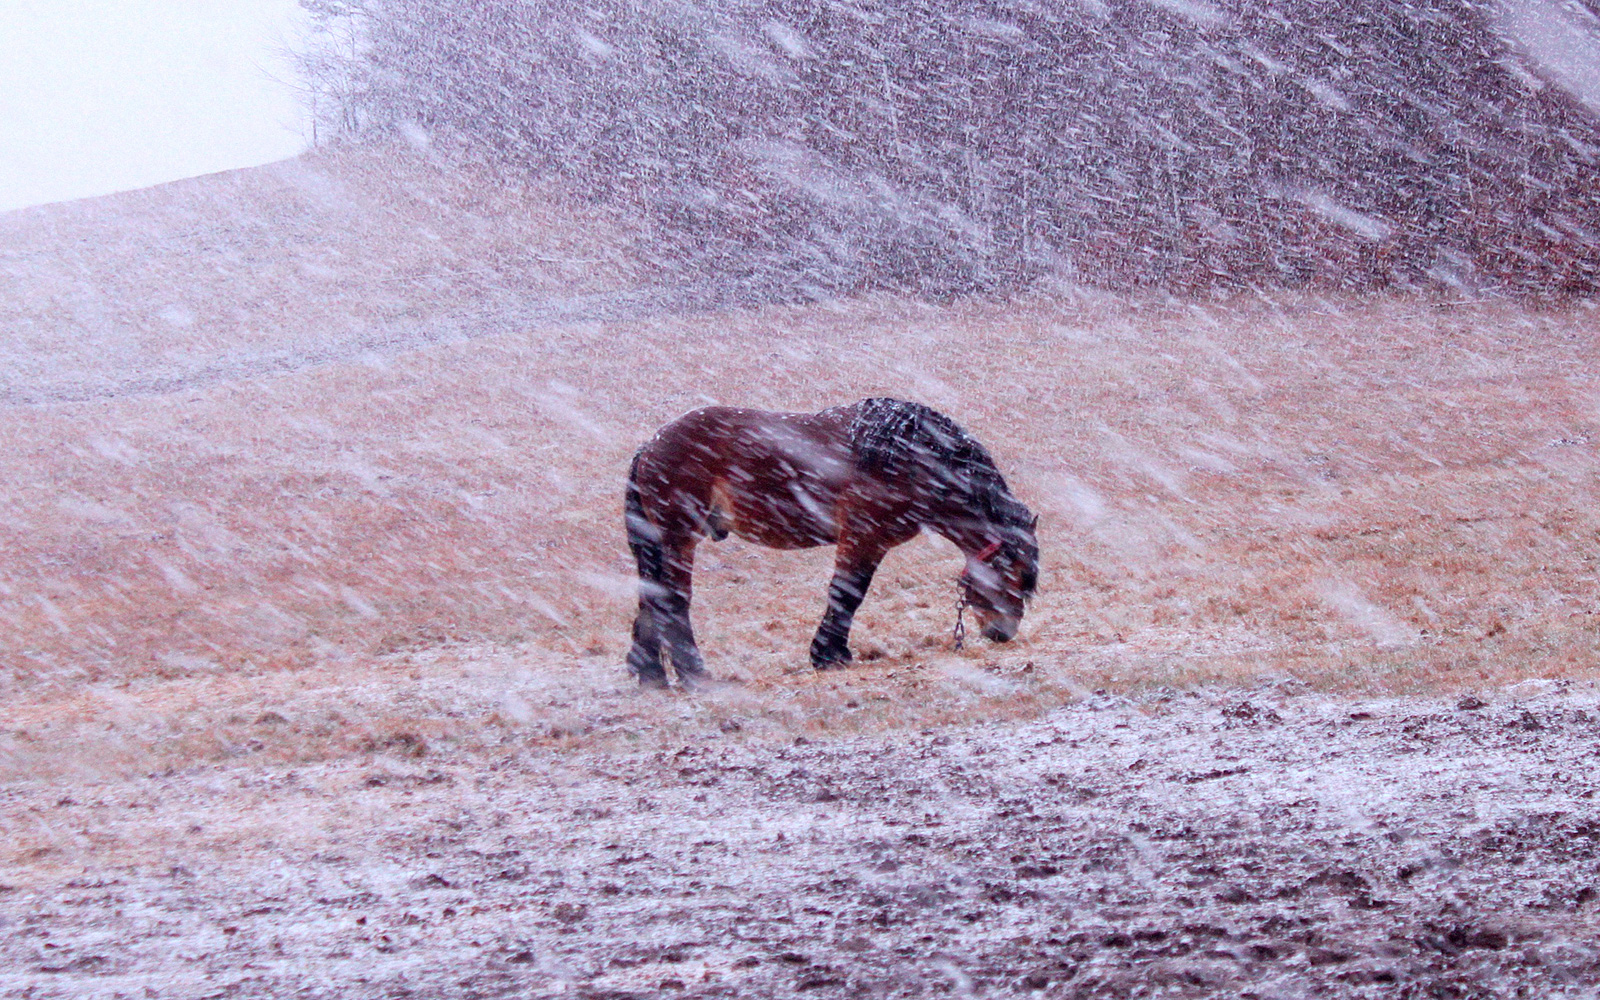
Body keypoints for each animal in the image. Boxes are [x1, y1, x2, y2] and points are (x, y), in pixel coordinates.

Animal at [624, 398, 1036, 684]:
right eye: (1012, 571)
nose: (1003, 633)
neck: (907, 458)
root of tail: (651, 444)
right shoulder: (862, 538)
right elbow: (847, 593)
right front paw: (828, 656)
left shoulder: (873, 543)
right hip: (680, 538)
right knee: (672, 601)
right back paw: (694, 675)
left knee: (651, 597)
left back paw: (651, 675)